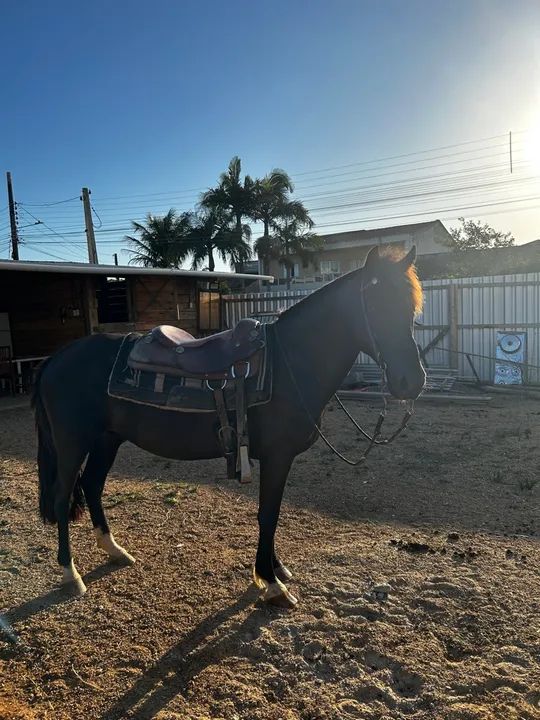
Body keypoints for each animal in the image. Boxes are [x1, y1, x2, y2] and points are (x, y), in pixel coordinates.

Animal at [33, 245, 425, 608]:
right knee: (63, 494)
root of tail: (56, 358)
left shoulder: (273, 459)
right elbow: (268, 514)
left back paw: (115, 550)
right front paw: (271, 583)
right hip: (72, 443)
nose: (412, 381)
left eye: (410, 309)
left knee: (92, 485)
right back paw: (71, 573)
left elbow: (271, 513)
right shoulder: (278, 457)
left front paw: (274, 569)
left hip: (107, 440)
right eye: (375, 306)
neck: (289, 363)